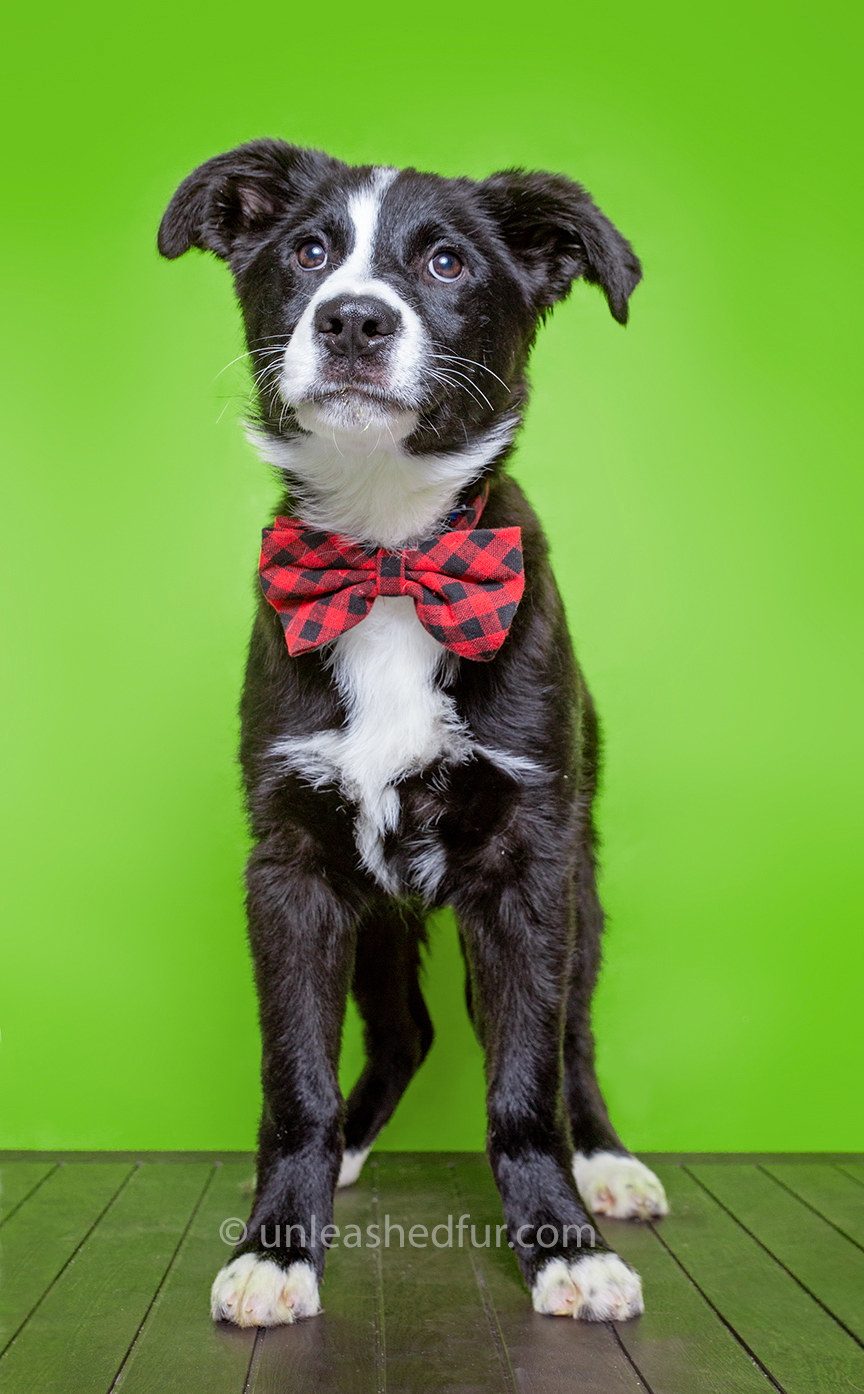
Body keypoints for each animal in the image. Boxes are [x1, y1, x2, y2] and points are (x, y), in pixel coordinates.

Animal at [158, 141, 668, 1327]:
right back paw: (348, 1145)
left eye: (445, 261)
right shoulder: (292, 868)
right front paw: (279, 1244)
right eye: (308, 251)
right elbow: (290, 1076)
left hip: (581, 884)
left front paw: (563, 1245)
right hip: (376, 910)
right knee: (407, 1030)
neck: (390, 559)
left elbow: (526, 1081)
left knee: (571, 1036)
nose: (352, 319)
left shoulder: (527, 867)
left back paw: (606, 1161)